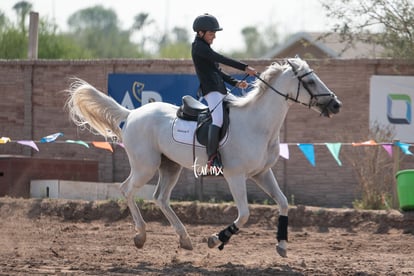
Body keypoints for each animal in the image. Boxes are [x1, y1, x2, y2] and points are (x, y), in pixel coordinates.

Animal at [66, 57, 342, 258]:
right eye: (312, 82)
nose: (336, 105)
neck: (258, 124)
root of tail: (132, 113)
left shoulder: (261, 173)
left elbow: (283, 203)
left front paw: (282, 245)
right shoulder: (236, 176)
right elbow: (244, 214)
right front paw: (216, 239)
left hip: (170, 166)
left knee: (160, 198)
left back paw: (184, 238)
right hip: (146, 166)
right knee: (126, 190)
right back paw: (141, 235)